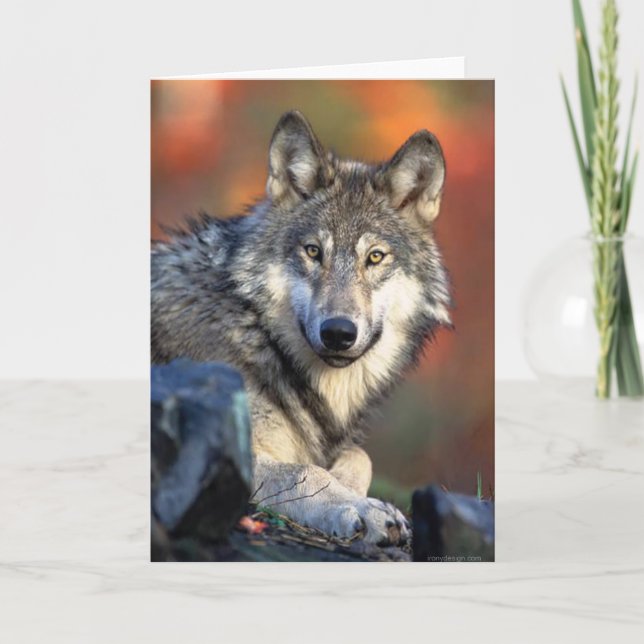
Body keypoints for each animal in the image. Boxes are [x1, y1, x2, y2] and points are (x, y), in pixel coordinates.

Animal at [152, 110, 451, 546]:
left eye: (375, 257)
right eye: (313, 252)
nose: (338, 332)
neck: (258, 334)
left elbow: (359, 457)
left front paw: (350, 488)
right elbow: (306, 472)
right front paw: (361, 508)